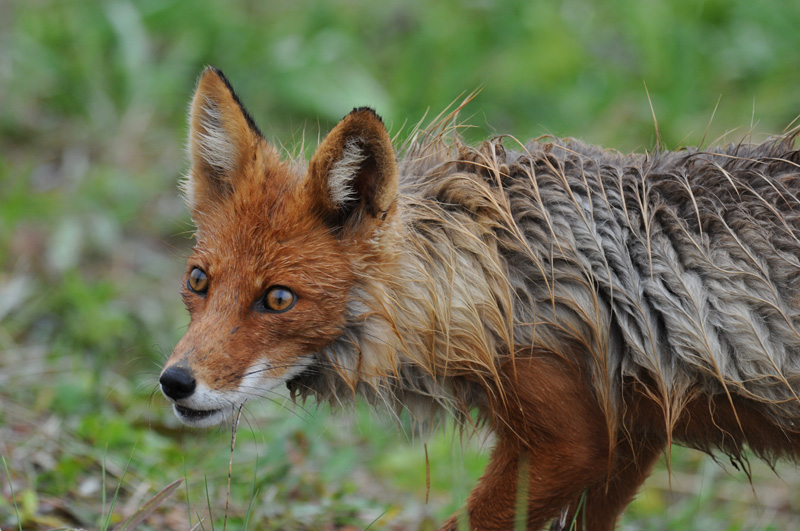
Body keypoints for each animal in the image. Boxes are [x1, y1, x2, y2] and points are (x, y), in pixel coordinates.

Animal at [158, 67, 800, 531]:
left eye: (277, 299)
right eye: (199, 282)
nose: (174, 382)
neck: (486, 277)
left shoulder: (570, 442)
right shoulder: (629, 441)